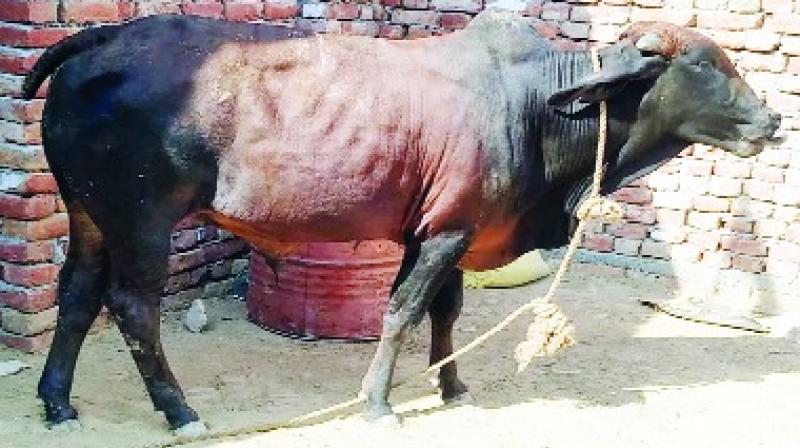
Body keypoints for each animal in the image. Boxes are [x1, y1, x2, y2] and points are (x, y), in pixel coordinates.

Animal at [23, 10, 780, 434]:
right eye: (704, 64)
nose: (771, 120)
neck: (539, 105)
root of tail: (101, 37)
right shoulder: (446, 234)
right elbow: (403, 312)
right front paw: (379, 403)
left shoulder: (450, 229)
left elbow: (444, 312)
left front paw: (451, 385)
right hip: (141, 220)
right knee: (131, 307)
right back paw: (178, 410)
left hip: (88, 215)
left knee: (76, 297)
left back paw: (57, 403)